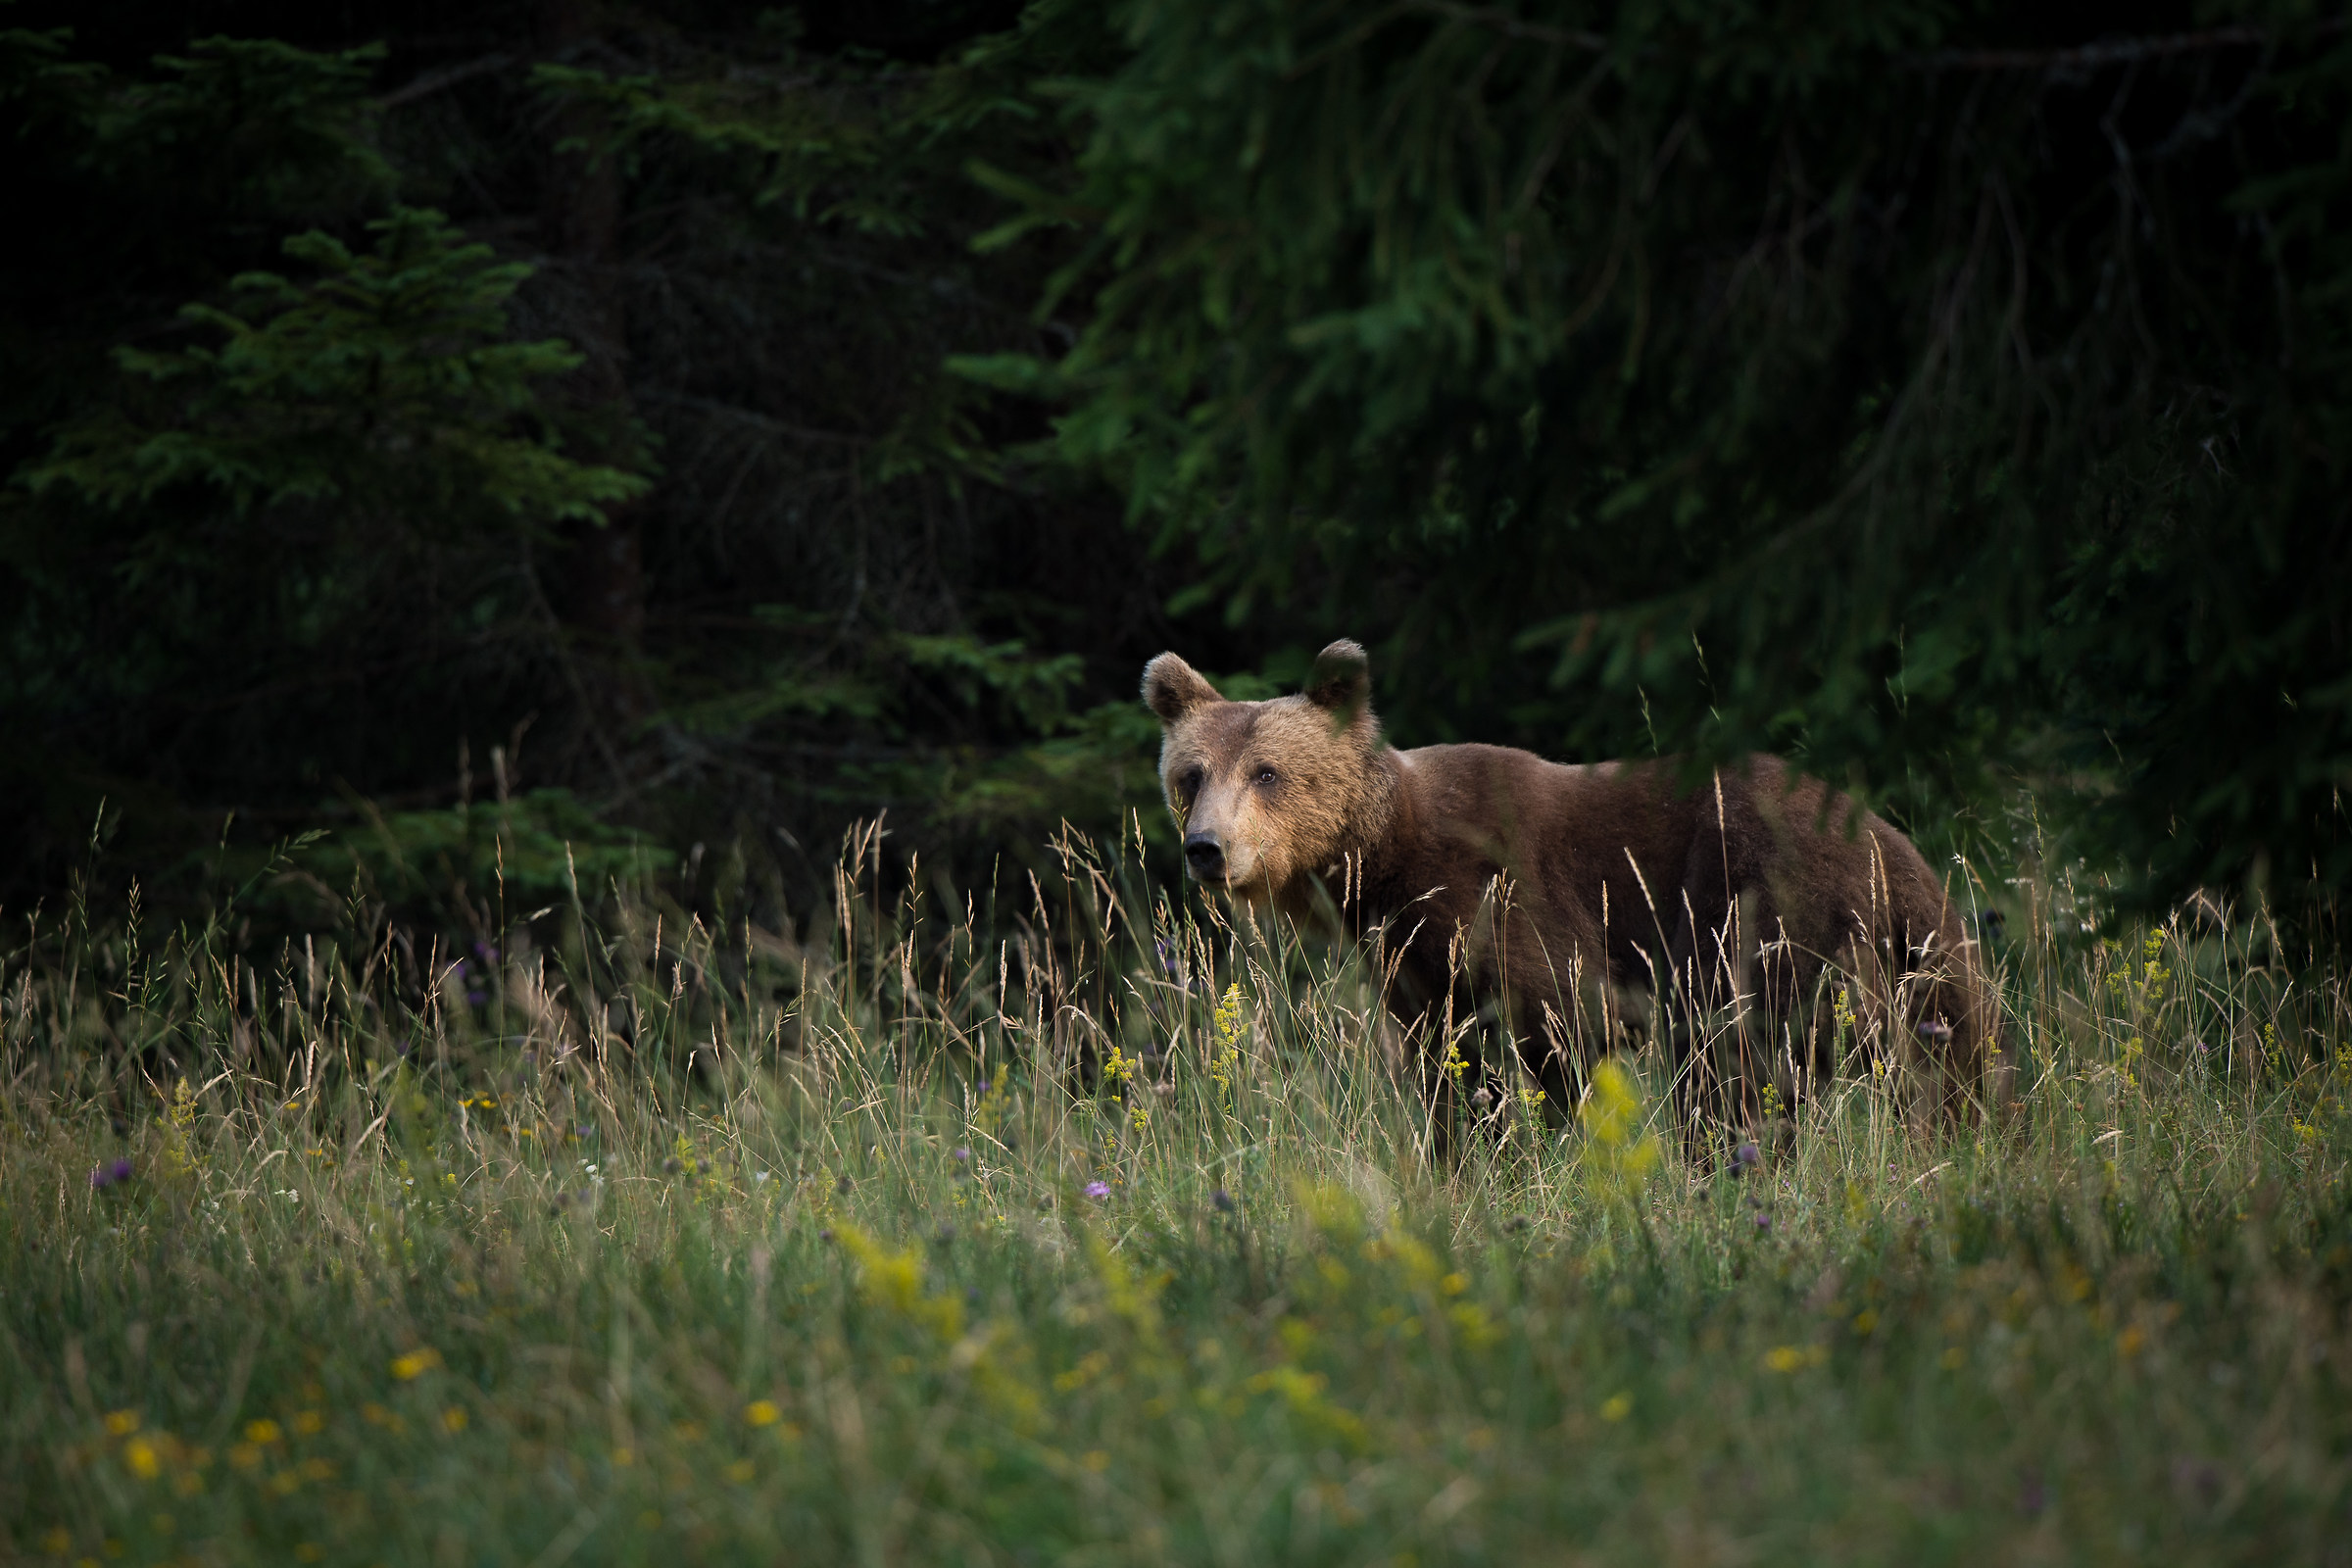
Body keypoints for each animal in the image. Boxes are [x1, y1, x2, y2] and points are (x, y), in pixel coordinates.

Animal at [1142, 638, 2000, 1154]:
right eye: (1191, 774)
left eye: (1267, 772)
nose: (1207, 849)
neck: (1384, 860)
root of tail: (1883, 837)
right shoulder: (1412, 962)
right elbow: (1447, 1069)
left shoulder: (1503, 902)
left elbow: (1557, 1030)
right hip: (1919, 943)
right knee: (1951, 1050)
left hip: (1763, 907)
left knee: (1744, 1056)